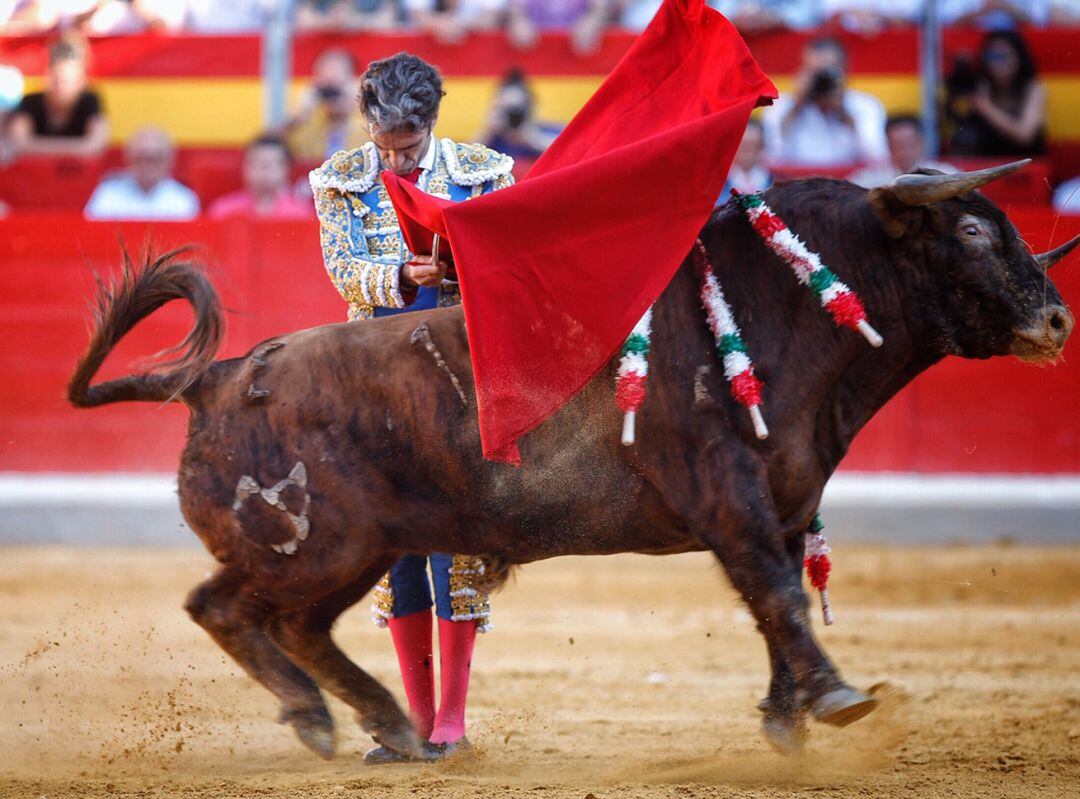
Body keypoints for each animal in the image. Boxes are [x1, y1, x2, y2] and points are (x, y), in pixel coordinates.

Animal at [71, 158, 1075, 760]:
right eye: (973, 232)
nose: (1057, 317)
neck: (783, 303)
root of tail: (217, 379)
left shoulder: (786, 505)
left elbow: (776, 602)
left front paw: (785, 720)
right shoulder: (731, 501)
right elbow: (779, 597)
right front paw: (835, 701)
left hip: (353, 551)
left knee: (299, 627)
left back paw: (390, 723)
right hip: (314, 544)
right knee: (225, 608)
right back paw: (322, 721)